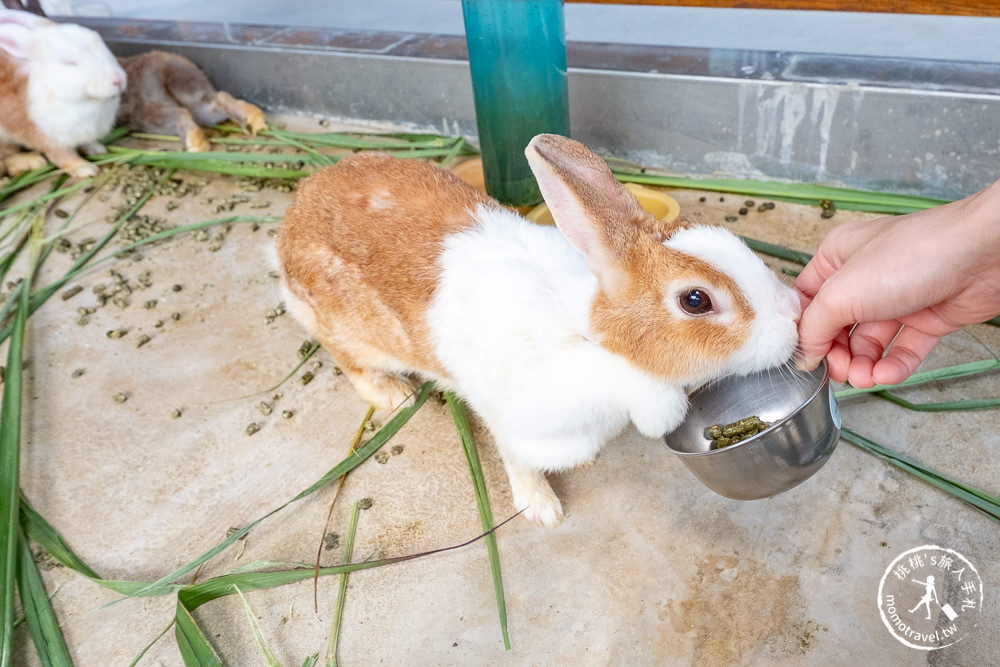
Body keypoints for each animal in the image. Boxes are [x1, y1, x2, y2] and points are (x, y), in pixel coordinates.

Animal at [0, 9, 124, 180]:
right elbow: (63, 157)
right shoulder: (50, 139)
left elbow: (87, 142)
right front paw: (86, 169)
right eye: (68, 63)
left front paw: (98, 150)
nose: (117, 79)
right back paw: (34, 161)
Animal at [117, 50, 268, 153]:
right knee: (220, 99)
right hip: (194, 98)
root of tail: (164, 66)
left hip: (147, 112)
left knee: (181, 113)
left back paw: (197, 146)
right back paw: (256, 121)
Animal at [278, 136, 800, 528]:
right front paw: (543, 509)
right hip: (350, 331)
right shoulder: (518, 420)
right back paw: (393, 395)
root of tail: (291, 219)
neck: (592, 337)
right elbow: (518, 460)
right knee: (345, 357)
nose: (795, 313)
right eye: (696, 300)